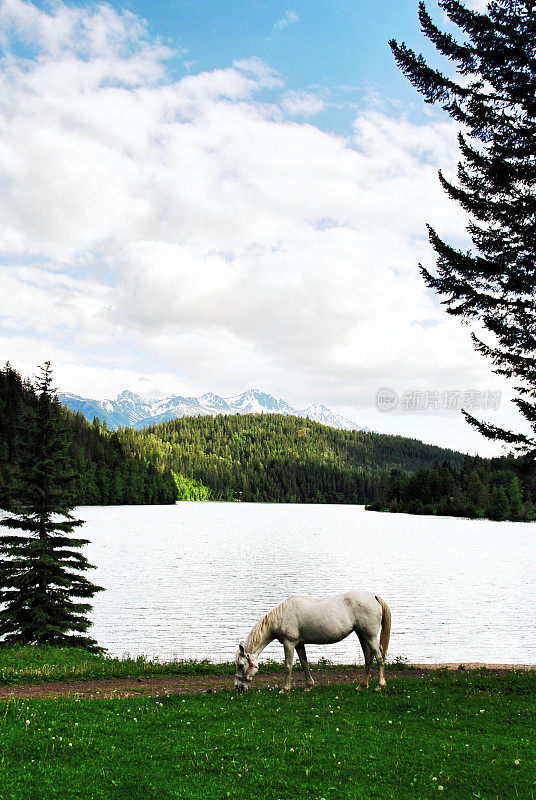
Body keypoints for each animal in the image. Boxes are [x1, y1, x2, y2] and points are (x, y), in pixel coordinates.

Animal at [233, 588, 390, 692]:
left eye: (241, 665)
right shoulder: (299, 644)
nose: (237, 687)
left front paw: (285, 689)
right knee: (368, 658)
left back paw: (379, 685)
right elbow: (304, 664)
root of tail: (373, 596)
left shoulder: (289, 643)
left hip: (370, 636)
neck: (281, 616)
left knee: (379, 657)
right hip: (362, 635)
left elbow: (288, 666)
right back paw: (362, 685)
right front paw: (309, 686)